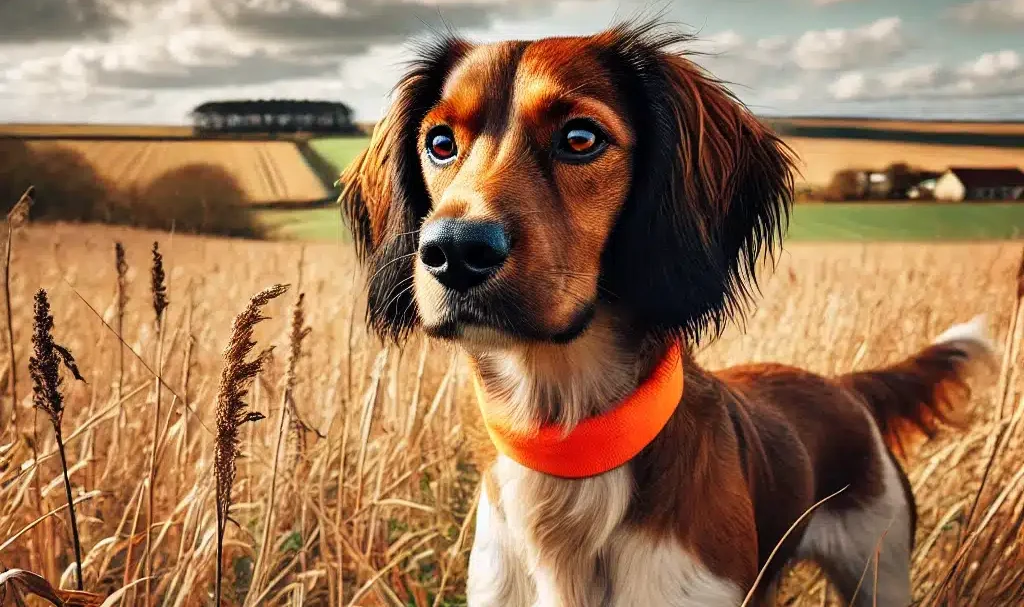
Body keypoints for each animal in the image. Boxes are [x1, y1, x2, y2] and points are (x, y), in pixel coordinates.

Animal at [339, 20, 995, 605]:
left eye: (581, 138)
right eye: (440, 144)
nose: (453, 250)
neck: (572, 452)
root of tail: (842, 386)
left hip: (879, 571)